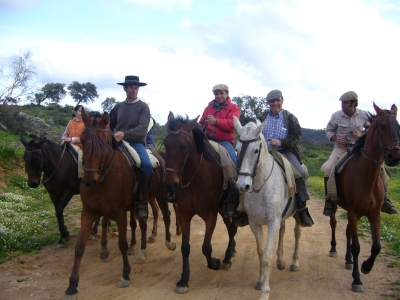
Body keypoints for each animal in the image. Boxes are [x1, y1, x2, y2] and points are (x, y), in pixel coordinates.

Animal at [64, 110, 175, 300]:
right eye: (83, 139)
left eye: (104, 141)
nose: (89, 180)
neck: (104, 176)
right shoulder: (88, 212)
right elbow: (79, 247)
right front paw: (72, 286)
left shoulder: (120, 213)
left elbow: (122, 243)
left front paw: (125, 275)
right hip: (140, 204)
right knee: (143, 224)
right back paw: (142, 252)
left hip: (159, 196)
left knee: (166, 216)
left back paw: (168, 242)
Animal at [162, 112, 238, 292]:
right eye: (166, 145)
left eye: (184, 146)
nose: (169, 184)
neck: (194, 178)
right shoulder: (184, 214)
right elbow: (185, 248)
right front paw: (183, 280)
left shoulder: (210, 214)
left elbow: (206, 247)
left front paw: (215, 263)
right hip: (222, 211)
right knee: (230, 229)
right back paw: (230, 251)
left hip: (228, 209)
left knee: (233, 229)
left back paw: (226, 259)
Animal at [233, 116, 302, 300]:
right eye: (236, 149)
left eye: (256, 150)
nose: (243, 186)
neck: (261, 186)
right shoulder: (255, 223)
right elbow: (261, 252)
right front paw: (260, 280)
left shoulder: (272, 222)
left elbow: (267, 257)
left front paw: (265, 292)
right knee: (283, 230)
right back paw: (281, 261)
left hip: (296, 215)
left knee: (297, 233)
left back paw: (294, 262)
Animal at [328, 103, 400, 292]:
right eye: (381, 127)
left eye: (398, 127)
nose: (393, 157)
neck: (366, 176)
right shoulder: (353, 212)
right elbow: (356, 247)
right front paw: (357, 280)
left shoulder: (375, 214)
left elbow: (376, 246)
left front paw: (366, 266)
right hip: (339, 208)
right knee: (334, 224)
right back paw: (333, 249)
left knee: (347, 231)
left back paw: (348, 260)